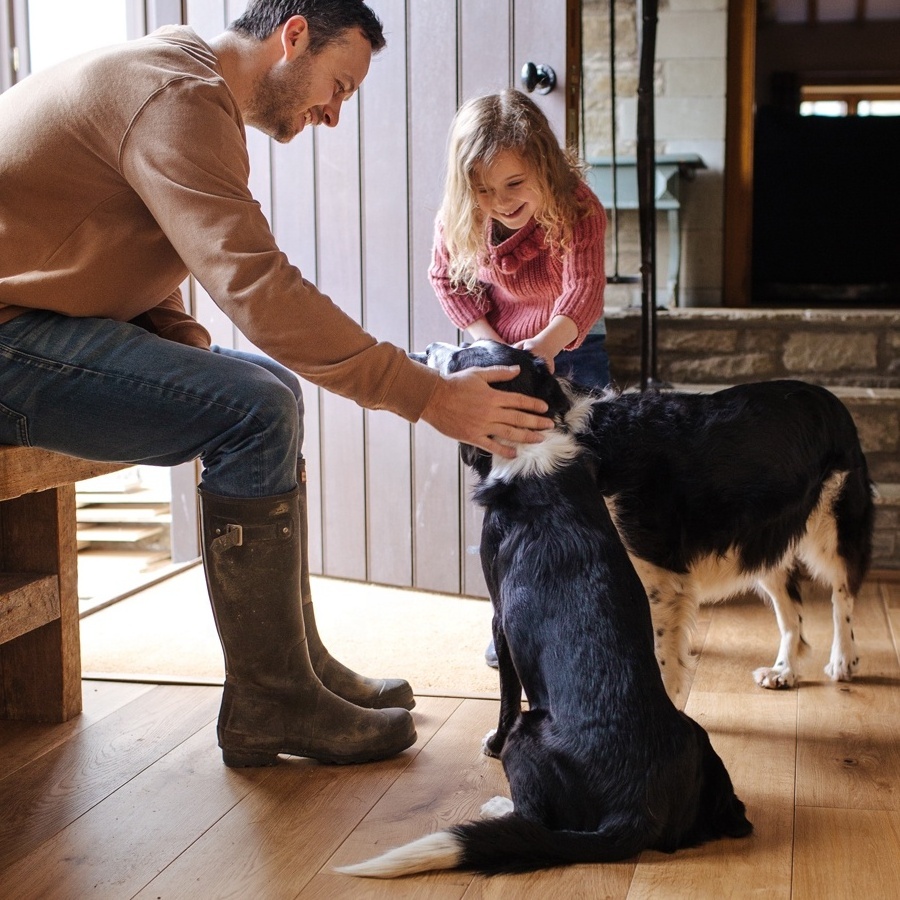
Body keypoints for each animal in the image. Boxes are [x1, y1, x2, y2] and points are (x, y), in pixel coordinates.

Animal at [334, 342, 748, 876]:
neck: (532, 450)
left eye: (460, 357)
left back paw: (497, 806)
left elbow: (507, 698)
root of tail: (635, 811)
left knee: (535, 817)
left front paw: (489, 745)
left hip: (530, 734)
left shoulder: (499, 618)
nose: (424, 349)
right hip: (698, 740)